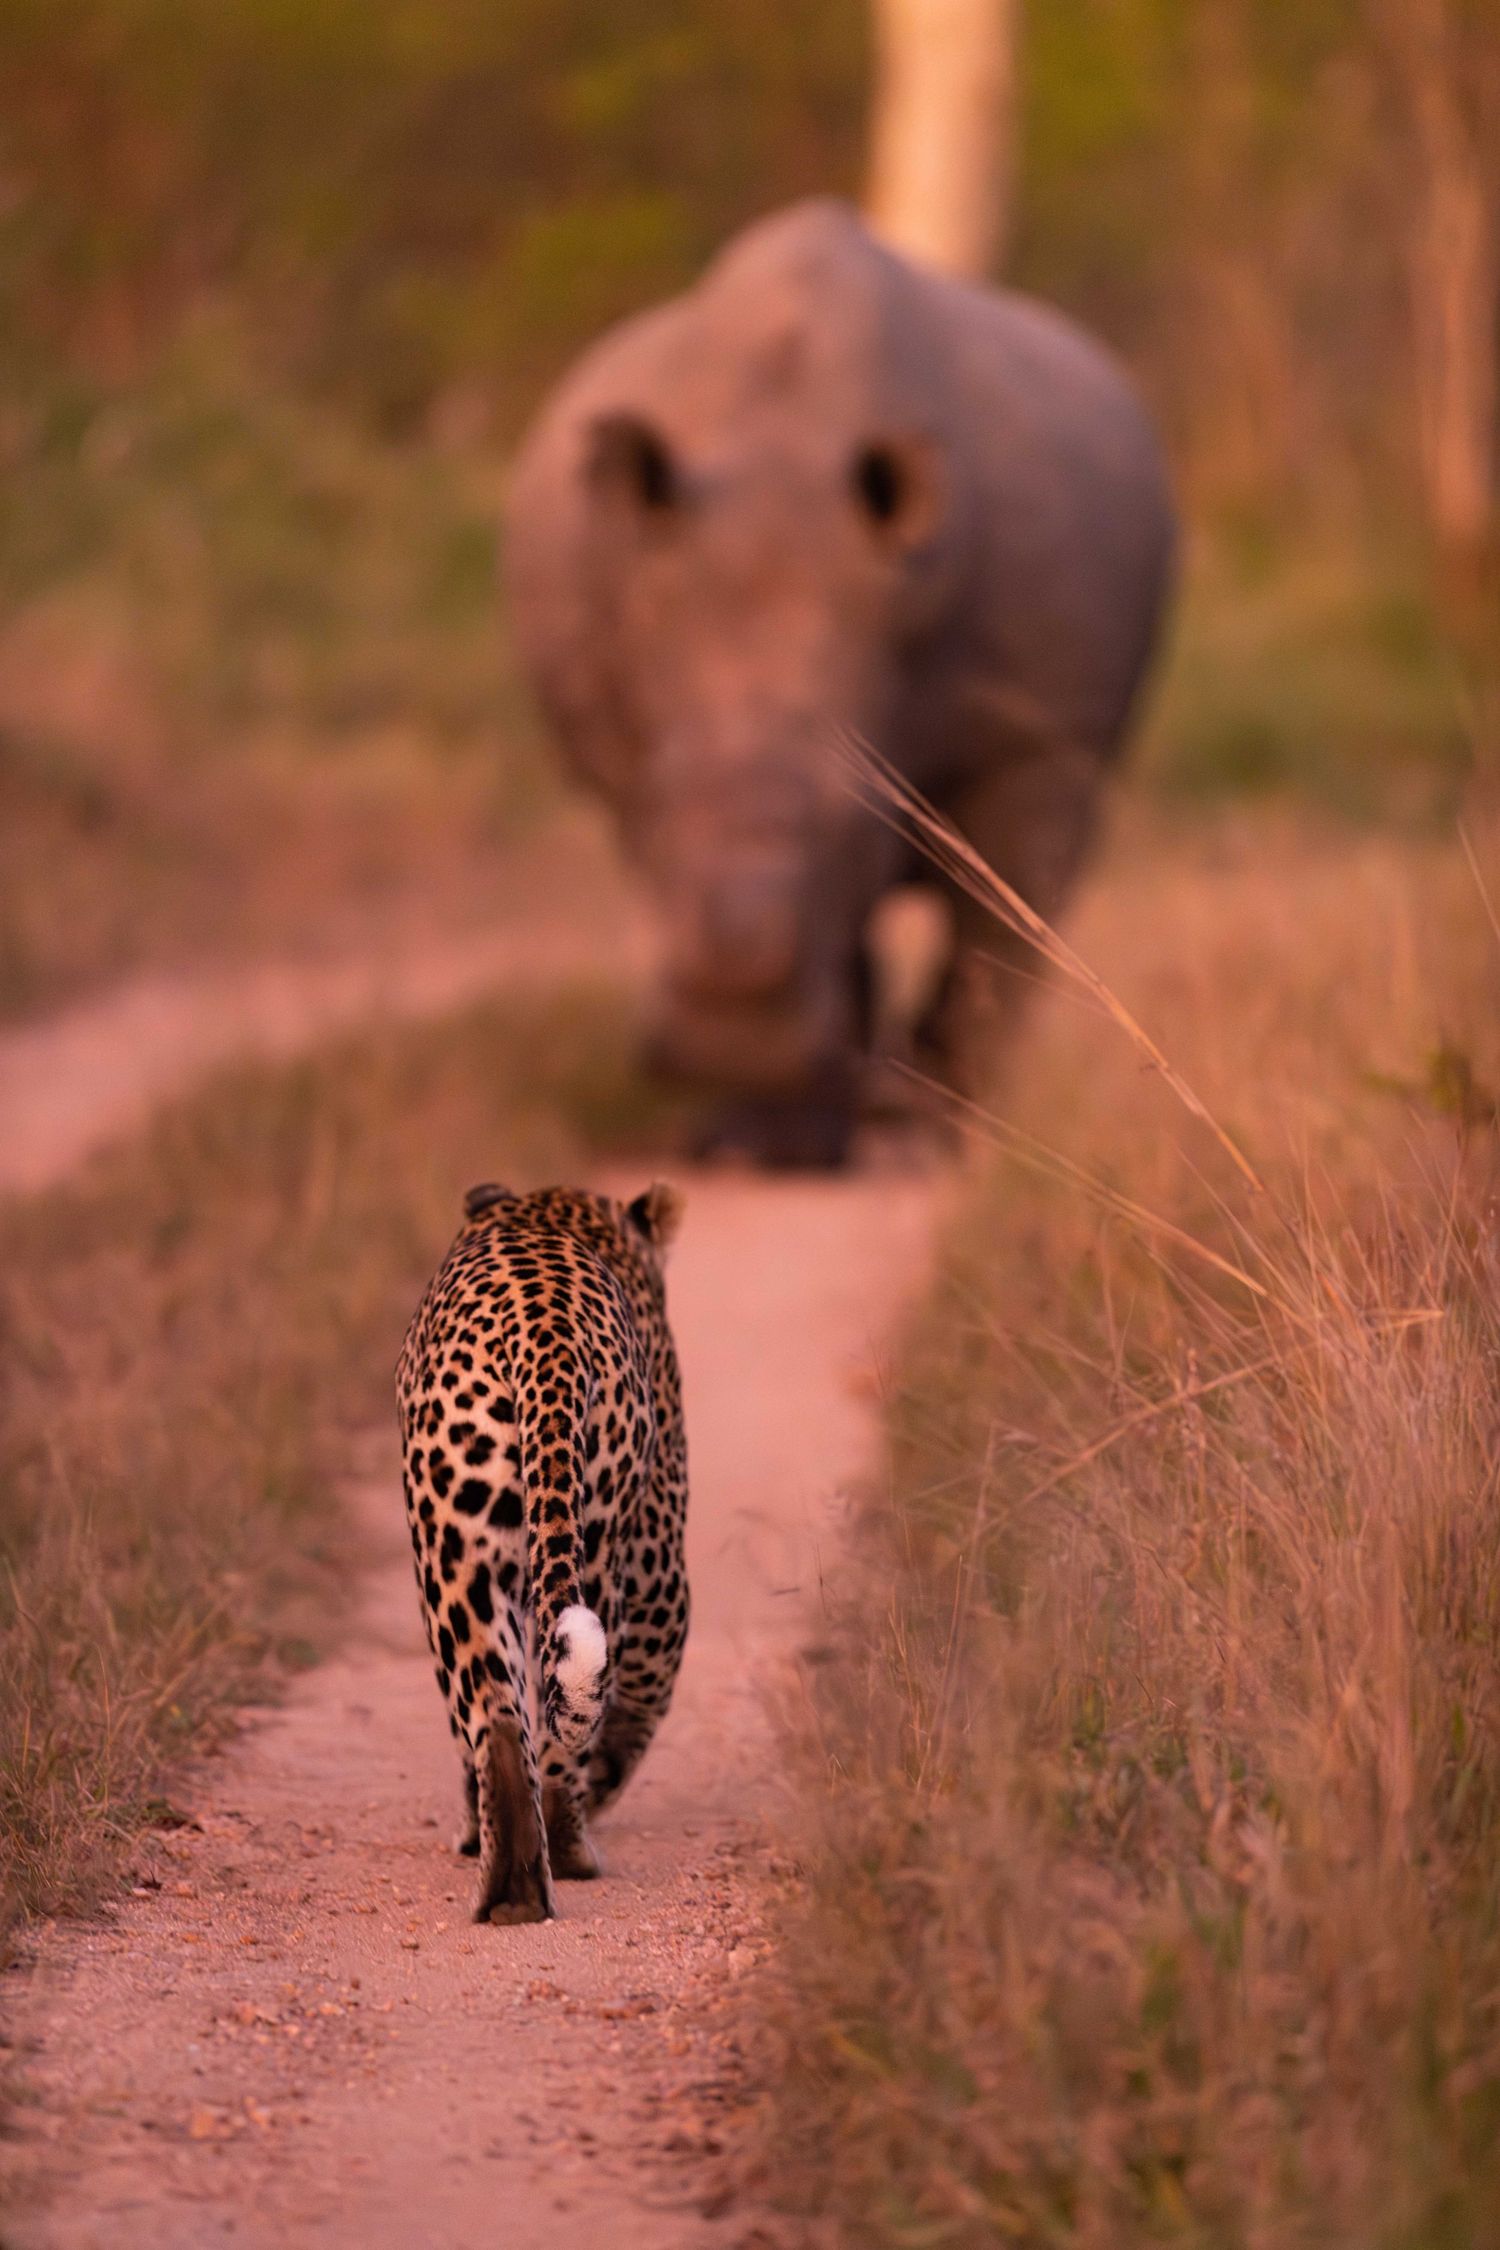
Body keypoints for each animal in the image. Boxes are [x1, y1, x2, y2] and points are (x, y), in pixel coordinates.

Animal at [395, 1179, 688, 1924]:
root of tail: (544, 1329)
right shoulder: (661, 1569)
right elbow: (636, 1702)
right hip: (596, 1548)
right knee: (555, 1725)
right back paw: (568, 1847)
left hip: (455, 1550)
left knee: (496, 1715)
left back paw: (512, 1885)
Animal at [506, 199, 1176, 1165]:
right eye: (655, 808)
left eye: (855, 826)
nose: (724, 1040)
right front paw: (773, 1142)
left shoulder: (1038, 737)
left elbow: (1000, 925)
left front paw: (937, 1136)